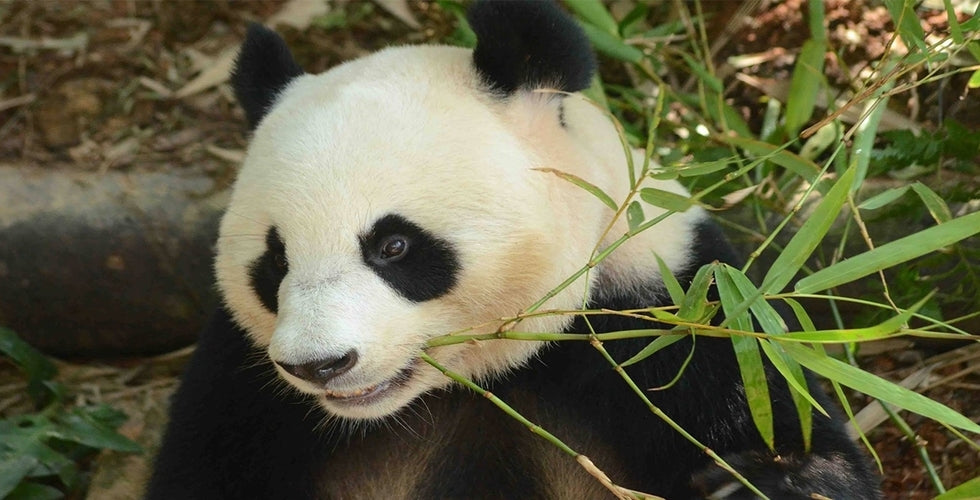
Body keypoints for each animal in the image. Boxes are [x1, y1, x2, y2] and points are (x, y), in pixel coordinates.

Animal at [147, 2, 880, 499]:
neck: (472, 381)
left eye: (393, 245)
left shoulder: (675, 306)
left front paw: (752, 481)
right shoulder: (242, 386)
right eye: (275, 262)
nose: (321, 365)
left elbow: (794, 439)